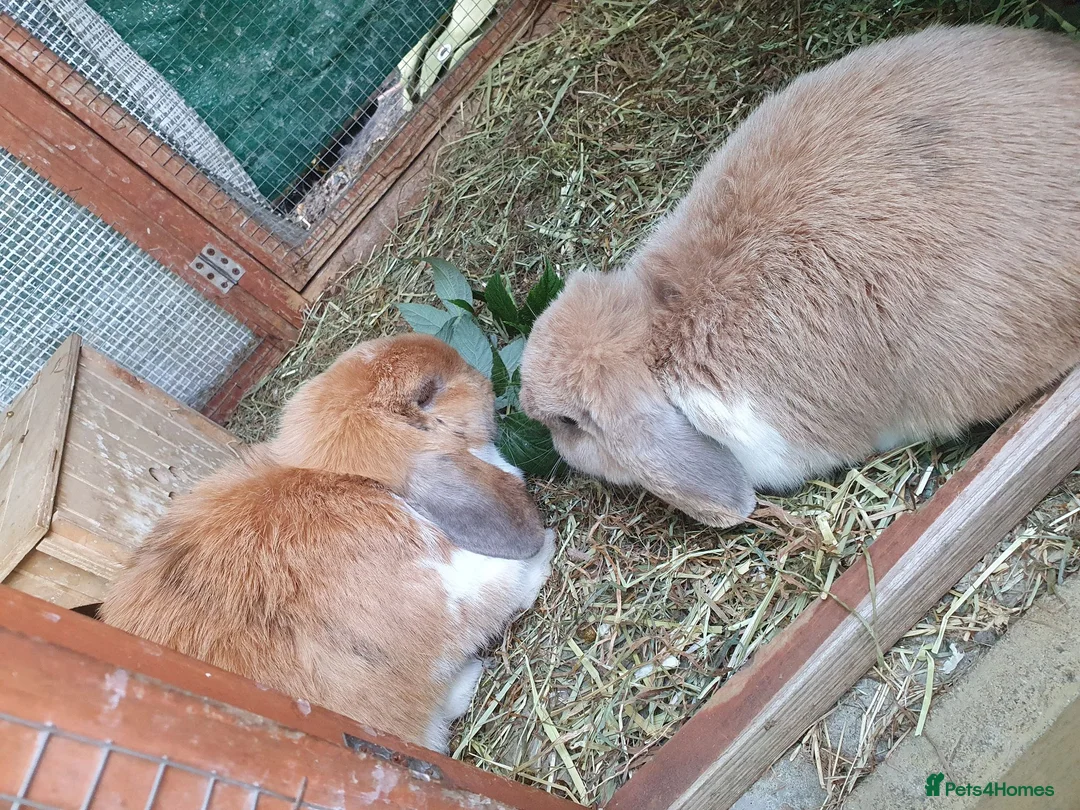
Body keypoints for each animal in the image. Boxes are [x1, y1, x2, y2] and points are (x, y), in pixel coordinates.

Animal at [100, 333, 555, 752]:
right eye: (428, 392)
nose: (483, 378)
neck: (348, 479)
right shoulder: (450, 599)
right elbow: (508, 584)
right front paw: (546, 549)